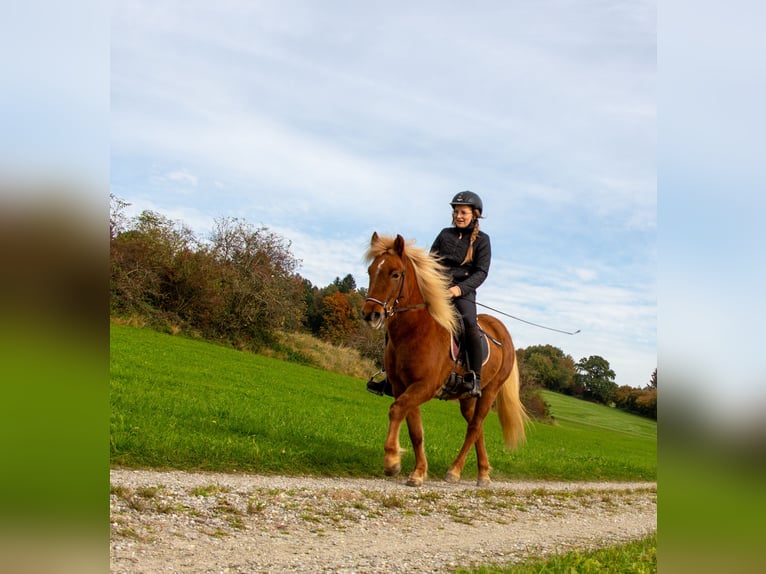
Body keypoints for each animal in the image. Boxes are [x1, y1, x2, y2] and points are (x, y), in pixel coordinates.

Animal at [361, 232, 528, 487]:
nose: (371, 314)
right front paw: (418, 471)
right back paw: (483, 472)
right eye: (371, 271)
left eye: (395, 274)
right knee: (477, 428)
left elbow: (396, 410)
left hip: (489, 391)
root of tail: (501, 330)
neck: (416, 329)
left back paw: (455, 471)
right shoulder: (403, 386)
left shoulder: (425, 386)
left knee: (474, 427)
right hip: (467, 398)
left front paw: (392, 461)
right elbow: (415, 430)